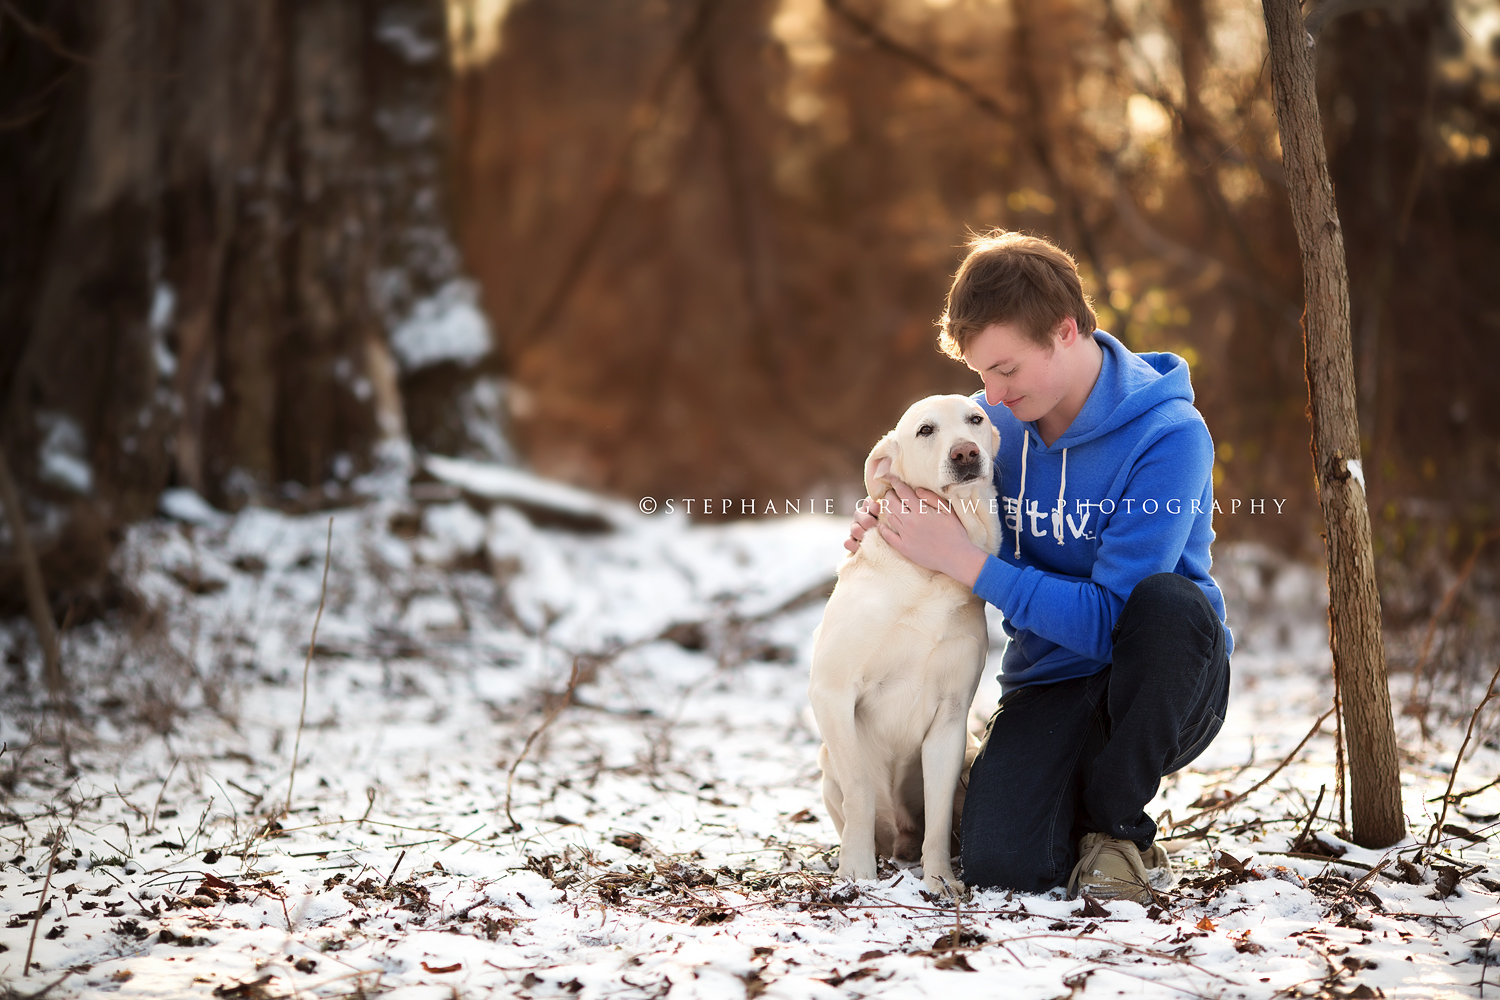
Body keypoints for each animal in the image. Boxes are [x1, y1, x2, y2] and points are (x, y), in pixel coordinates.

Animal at [804, 392, 1002, 899]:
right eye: (925, 430)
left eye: (976, 419)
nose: (966, 453)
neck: (929, 576)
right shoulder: (832, 691)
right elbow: (858, 789)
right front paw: (855, 871)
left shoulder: (951, 717)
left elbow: (937, 812)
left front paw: (941, 879)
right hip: (827, 762)